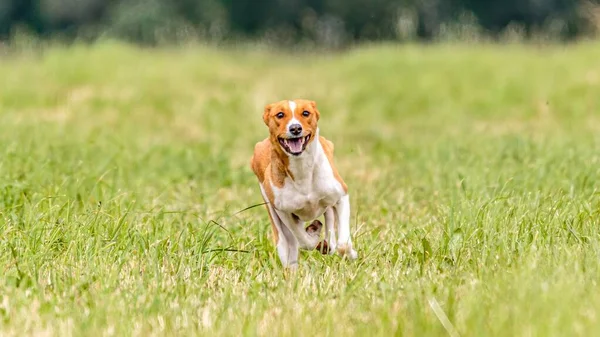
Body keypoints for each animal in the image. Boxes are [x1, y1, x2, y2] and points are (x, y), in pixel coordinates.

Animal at [250, 98, 356, 268]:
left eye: (306, 113)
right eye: (280, 114)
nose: (295, 128)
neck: (302, 171)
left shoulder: (341, 196)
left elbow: (343, 244)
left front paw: (350, 254)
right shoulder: (284, 212)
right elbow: (304, 240)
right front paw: (314, 235)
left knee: (330, 219)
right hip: (275, 220)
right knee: (289, 245)